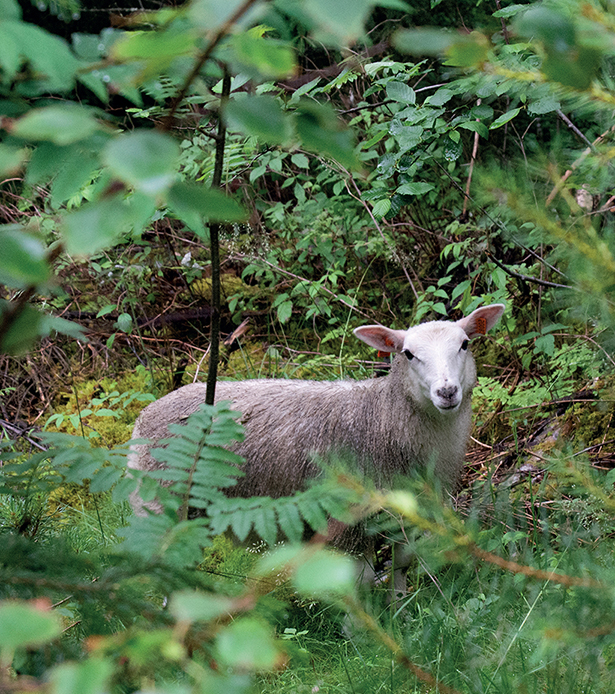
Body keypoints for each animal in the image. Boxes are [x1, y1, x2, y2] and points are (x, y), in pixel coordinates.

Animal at [129, 304, 506, 592]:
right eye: (408, 354)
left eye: (465, 344)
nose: (447, 392)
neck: (382, 417)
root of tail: (146, 413)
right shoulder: (341, 517)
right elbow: (359, 578)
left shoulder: (410, 507)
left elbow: (403, 560)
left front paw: (401, 610)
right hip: (158, 508)